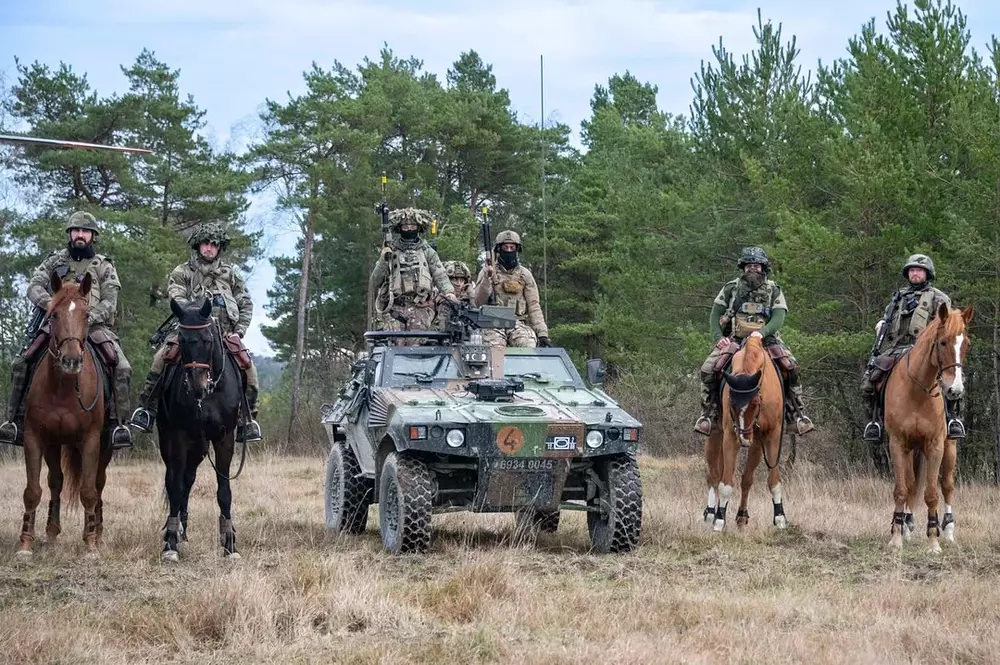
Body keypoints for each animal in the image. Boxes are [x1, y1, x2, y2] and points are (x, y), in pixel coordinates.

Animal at [18, 271, 112, 559]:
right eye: (54, 315)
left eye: (87, 316)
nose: (71, 361)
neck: (64, 388)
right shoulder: (35, 436)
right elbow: (33, 490)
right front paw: (25, 544)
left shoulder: (91, 440)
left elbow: (88, 491)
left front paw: (90, 544)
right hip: (54, 444)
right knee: (56, 481)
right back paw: (51, 532)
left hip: (105, 448)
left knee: (98, 484)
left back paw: (97, 534)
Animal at [157, 297, 245, 563]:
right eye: (181, 340)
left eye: (208, 339)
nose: (197, 386)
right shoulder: (179, 437)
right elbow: (175, 488)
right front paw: (170, 545)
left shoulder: (224, 439)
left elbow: (224, 491)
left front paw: (230, 544)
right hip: (171, 443)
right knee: (174, 480)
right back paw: (176, 531)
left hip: (199, 448)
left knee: (188, 479)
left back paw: (183, 530)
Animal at [703, 332, 787, 532]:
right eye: (731, 404)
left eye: (756, 402)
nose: (744, 439)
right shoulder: (729, 436)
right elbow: (725, 483)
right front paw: (719, 521)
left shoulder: (772, 434)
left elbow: (773, 481)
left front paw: (780, 518)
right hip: (715, 435)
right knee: (714, 476)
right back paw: (711, 514)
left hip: (756, 443)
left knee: (746, 479)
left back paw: (741, 516)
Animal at [883, 303, 972, 552]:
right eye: (942, 342)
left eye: (966, 344)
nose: (955, 390)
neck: (917, 390)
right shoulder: (898, 444)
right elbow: (902, 489)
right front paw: (896, 537)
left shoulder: (934, 446)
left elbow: (932, 494)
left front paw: (934, 541)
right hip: (913, 450)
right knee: (912, 485)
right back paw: (906, 526)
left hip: (949, 448)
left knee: (947, 485)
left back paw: (949, 531)